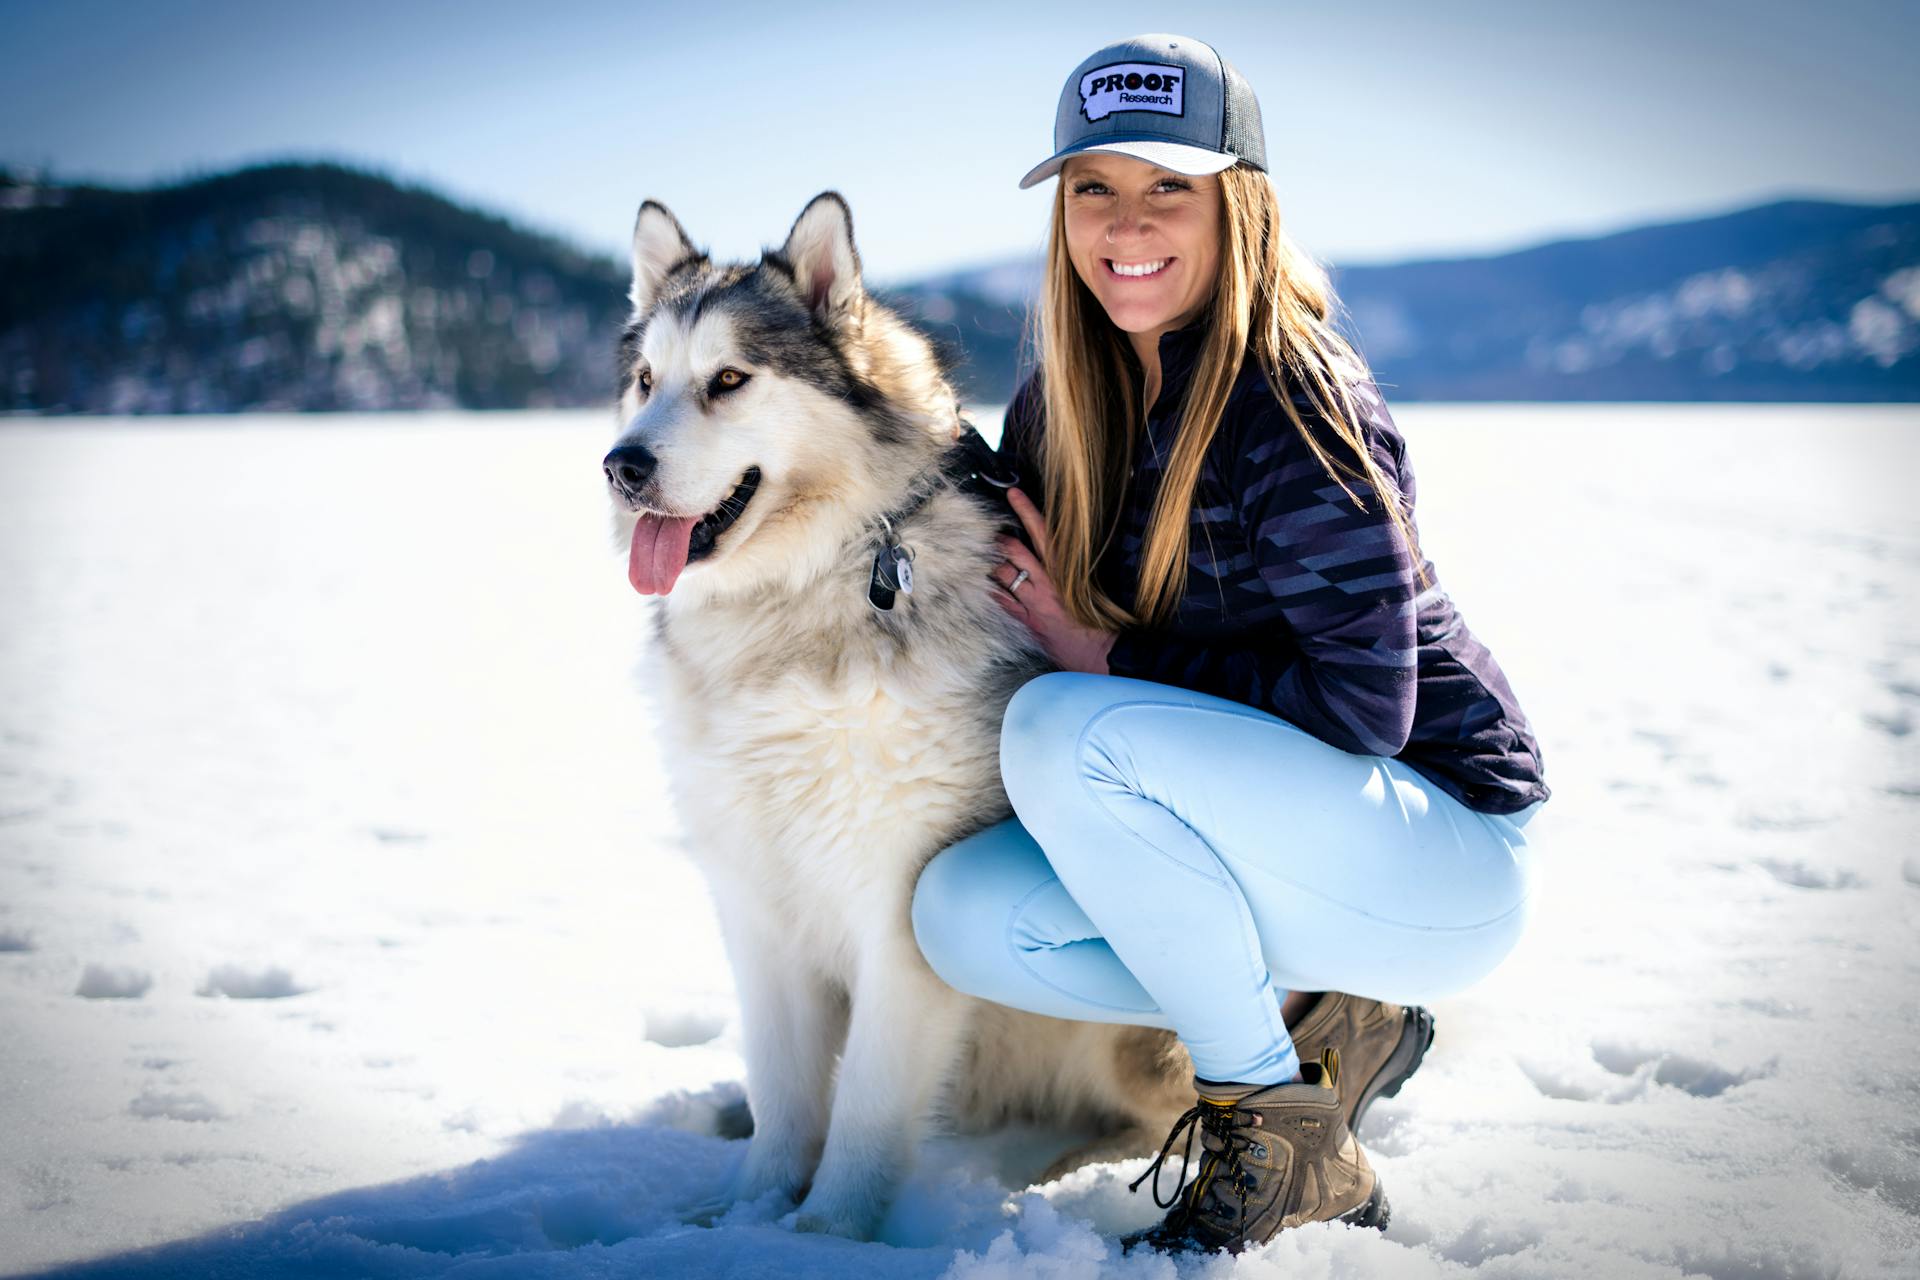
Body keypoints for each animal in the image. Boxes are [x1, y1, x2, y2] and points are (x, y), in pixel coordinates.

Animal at [602, 189, 1198, 1243]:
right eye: (646, 381)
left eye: (728, 380)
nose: (621, 466)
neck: (801, 598)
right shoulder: (757, 907)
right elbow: (785, 1090)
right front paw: (748, 1214)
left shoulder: (899, 914)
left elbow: (868, 1105)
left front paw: (822, 1237)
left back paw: (1068, 1172)